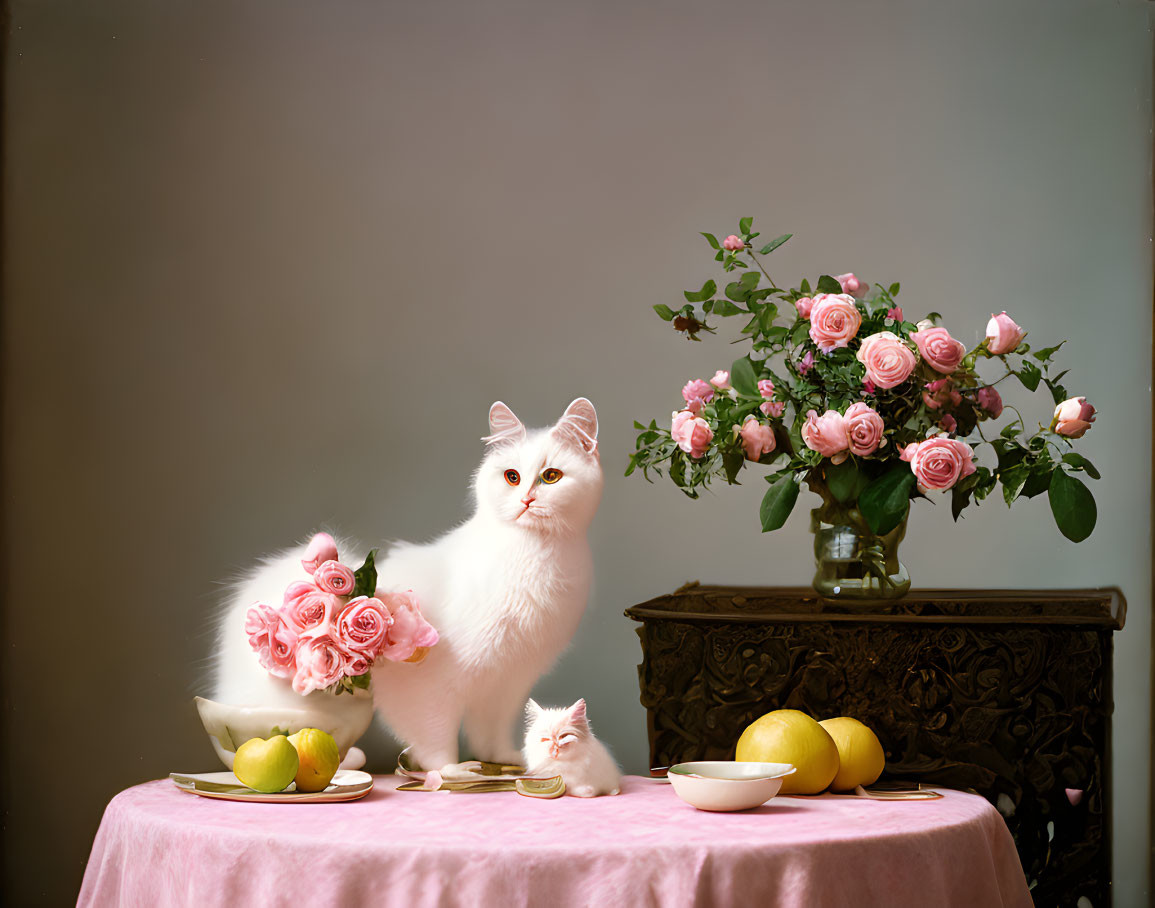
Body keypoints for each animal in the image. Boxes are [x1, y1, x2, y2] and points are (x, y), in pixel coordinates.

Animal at [212, 397, 605, 771]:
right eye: (511, 476)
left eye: (551, 476)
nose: (526, 499)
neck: (534, 557)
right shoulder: (432, 687)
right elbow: (437, 740)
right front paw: (451, 773)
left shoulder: (505, 684)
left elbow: (489, 736)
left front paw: (503, 761)